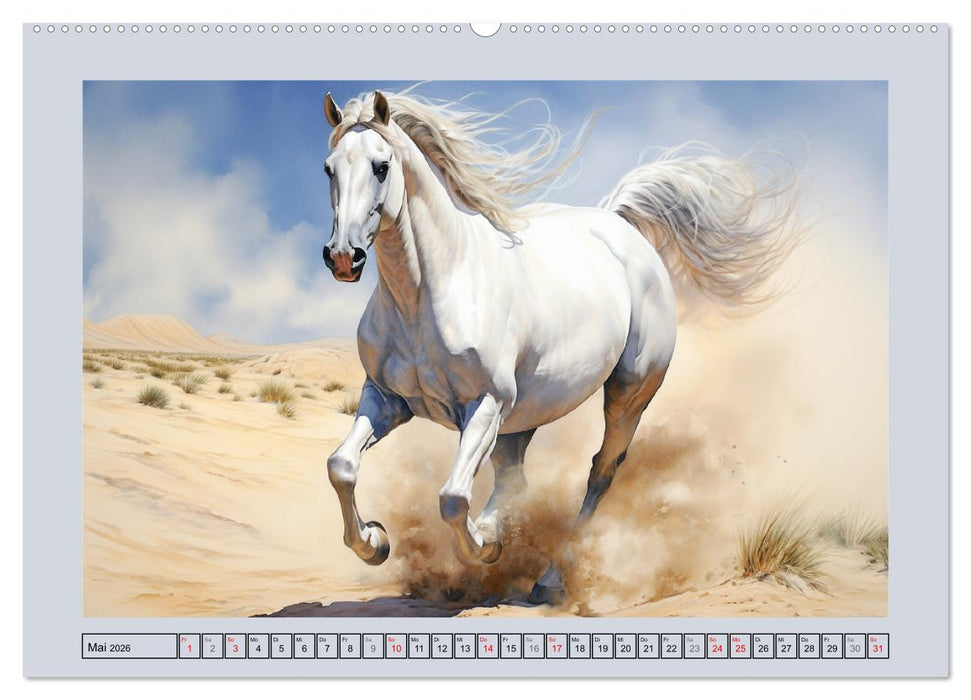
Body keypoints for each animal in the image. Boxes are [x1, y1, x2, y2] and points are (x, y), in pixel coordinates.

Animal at [320, 89, 800, 603]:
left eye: (382, 166)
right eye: (329, 168)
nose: (344, 257)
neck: (428, 294)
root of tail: (618, 226)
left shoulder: (484, 404)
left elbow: (452, 499)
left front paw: (484, 545)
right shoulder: (387, 399)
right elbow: (342, 466)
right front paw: (375, 542)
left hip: (625, 394)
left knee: (600, 471)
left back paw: (548, 578)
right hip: (521, 416)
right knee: (516, 479)